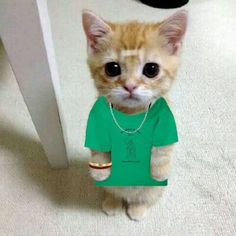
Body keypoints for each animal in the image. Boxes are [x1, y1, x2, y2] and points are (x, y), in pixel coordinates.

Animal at [82, 8, 187, 219]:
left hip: (153, 191)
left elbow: (162, 150)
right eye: (112, 68)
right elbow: (98, 150)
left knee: (145, 197)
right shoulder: (97, 124)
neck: (130, 114)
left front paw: (159, 171)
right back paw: (113, 202)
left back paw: (138, 207)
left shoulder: (166, 124)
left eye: (151, 69)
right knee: (112, 191)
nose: (130, 86)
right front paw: (99, 170)